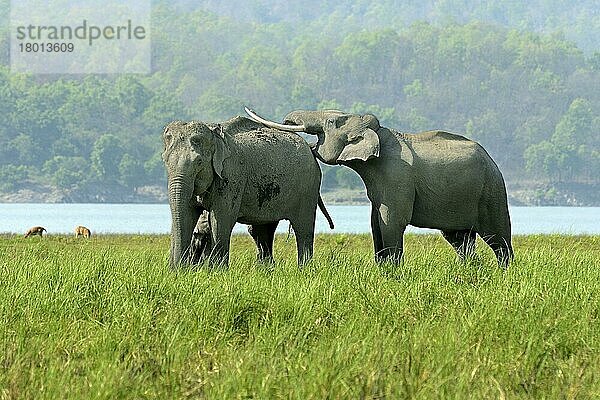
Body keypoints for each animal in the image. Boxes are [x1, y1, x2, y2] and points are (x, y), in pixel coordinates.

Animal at [163, 115, 332, 266]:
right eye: (165, 160)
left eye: (198, 162)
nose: (177, 267)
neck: (214, 133)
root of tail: (310, 148)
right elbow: (187, 214)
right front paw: (179, 272)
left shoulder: (231, 175)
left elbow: (221, 220)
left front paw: (216, 272)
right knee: (262, 230)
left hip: (308, 187)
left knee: (303, 229)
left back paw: (304, 269)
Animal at [246, 108, 512, 268]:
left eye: (331, 122)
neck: (377, 132)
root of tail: (493, 162)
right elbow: (376, 223)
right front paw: (383, 270)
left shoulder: (396, 178)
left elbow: (391, 222)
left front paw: (394, 273)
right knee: (459, 239)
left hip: (492, 191)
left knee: (498, 237)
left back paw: (503, 273)